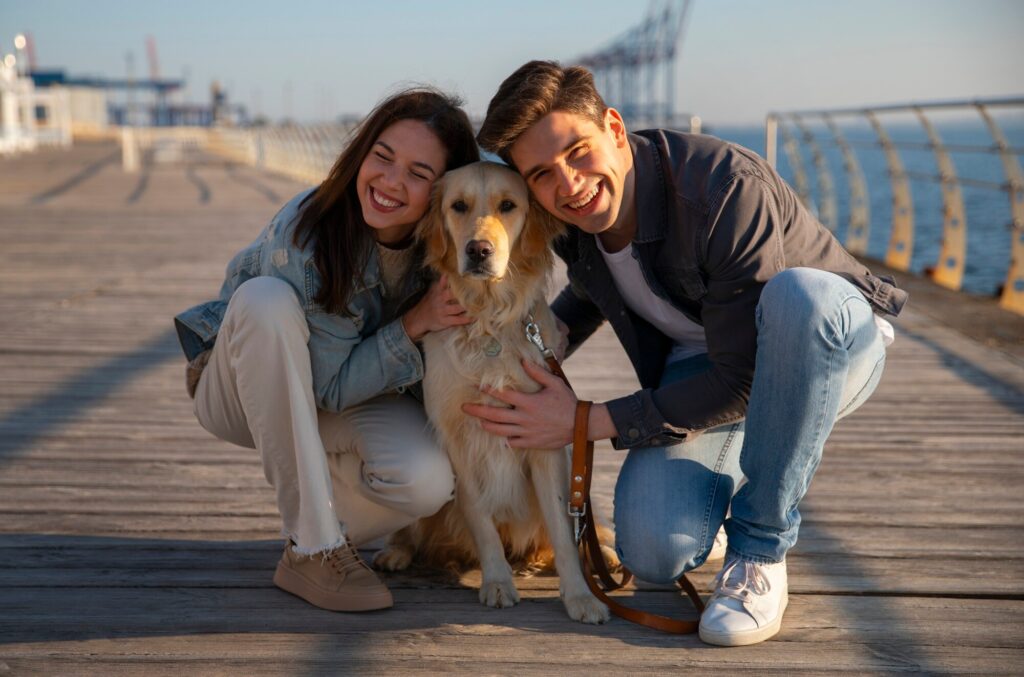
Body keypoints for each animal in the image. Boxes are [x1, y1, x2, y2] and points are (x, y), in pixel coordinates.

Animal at [378, 159, 610, 622]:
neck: (488, 319)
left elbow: (562, 527)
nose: (478, 250)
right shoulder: (457, 438)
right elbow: (481, 518)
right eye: (458, 206)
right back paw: (397, 552)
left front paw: (580, 596)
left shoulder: (546, 439)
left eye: (508, 205)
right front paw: (497, 581)